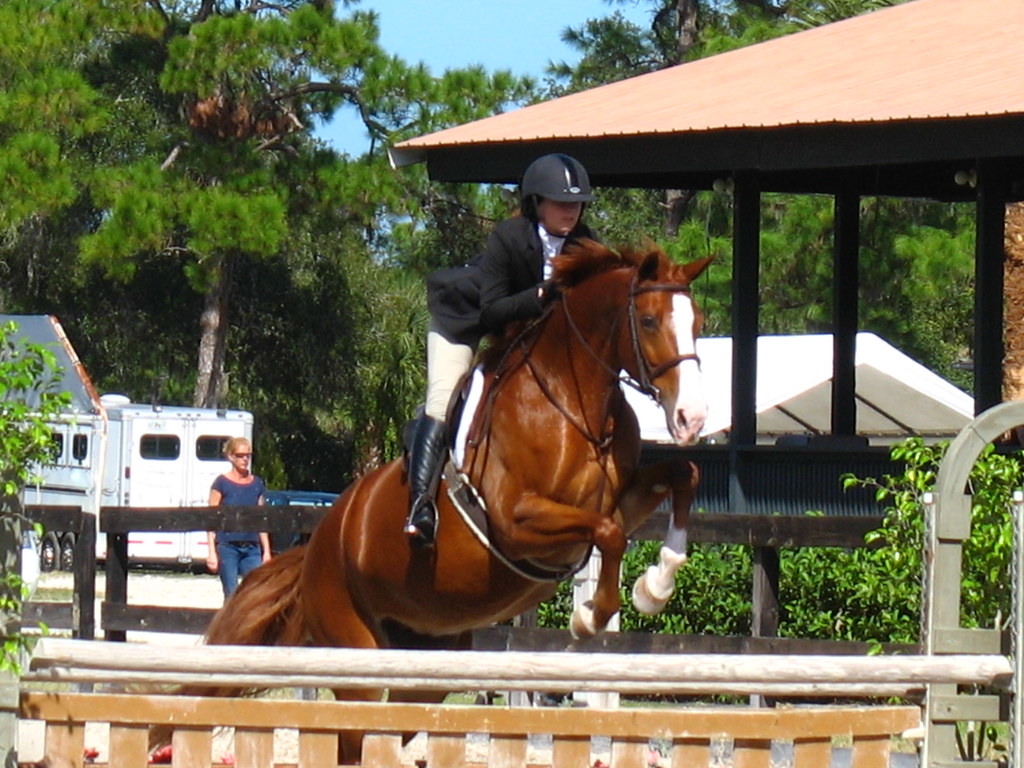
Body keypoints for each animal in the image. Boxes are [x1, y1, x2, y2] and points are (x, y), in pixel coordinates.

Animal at [188, 239, 711, 762]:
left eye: (698, 322)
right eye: (649, 321)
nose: (692, 418)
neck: (573, 400)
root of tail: (316, 546)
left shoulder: (619, 500)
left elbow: (682, 477)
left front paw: (655, 585)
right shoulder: (517, 522)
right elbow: (610, 533)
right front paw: (589, 618)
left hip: (424, 662)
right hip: (356, 652)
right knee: (352, 736)